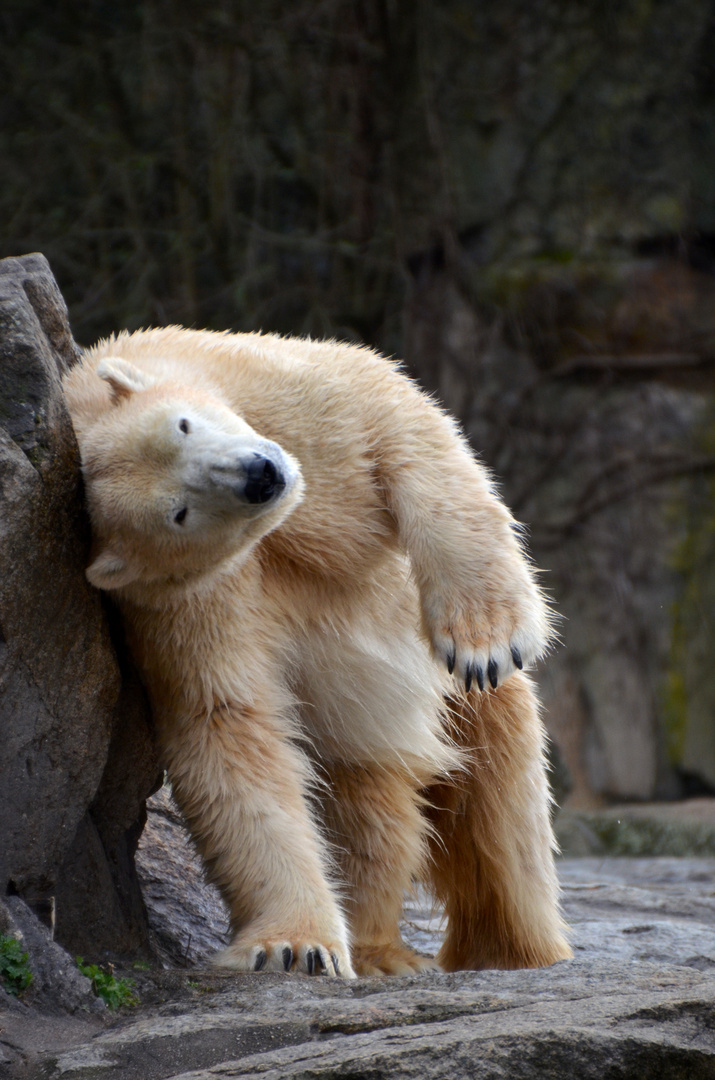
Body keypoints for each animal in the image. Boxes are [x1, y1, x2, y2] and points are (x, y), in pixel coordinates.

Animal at [64, 328, 574, 980]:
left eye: (183, 424)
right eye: (178, 512)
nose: (258, 475)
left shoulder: (275, 394)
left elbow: (396, 426)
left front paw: (484, 641)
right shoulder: (184, 605)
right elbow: (228, 724)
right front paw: (295, 948)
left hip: (457, 705)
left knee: (500, 802)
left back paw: (515, 950)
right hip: (360, 745)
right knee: (374, 819)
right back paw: (384, 951)